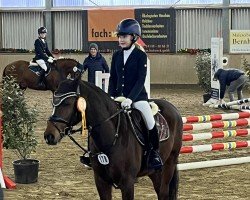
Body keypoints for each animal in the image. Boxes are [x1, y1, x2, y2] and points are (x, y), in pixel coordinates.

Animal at [43, 76, 184, 198]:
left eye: (67, 103)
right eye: (53, 103)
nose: (49, 136)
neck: (112, 137)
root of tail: (173, 108)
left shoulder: (127, 183)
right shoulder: (101, 182)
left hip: (169, 163)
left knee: (164, 192)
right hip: (155, 171)